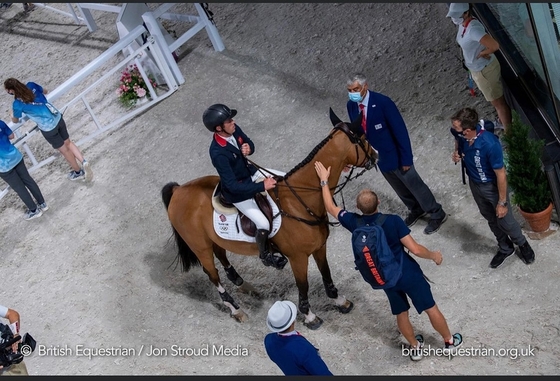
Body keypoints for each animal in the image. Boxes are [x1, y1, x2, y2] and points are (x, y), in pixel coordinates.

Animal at [164, 108, 378, 328]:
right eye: (363, 138)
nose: (376, 155)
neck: (301, 198)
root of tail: (178, 191)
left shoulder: (319, 247)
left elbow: (327, 275)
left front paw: (340, 301)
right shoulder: (298, 257)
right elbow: (303, 285)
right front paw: (309, 316)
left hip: (215, 240)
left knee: (224, 260)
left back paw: (246, 287)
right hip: (201, 247)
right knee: (213, 275)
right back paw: (236, 310)